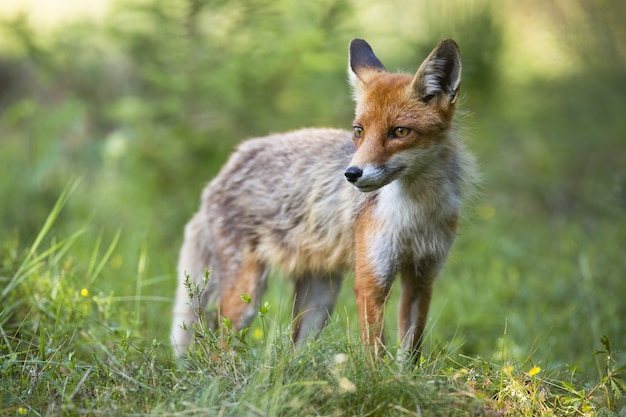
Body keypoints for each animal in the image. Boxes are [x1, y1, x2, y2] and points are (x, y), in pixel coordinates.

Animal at [168, 38, 476, 358]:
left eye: (400, 131)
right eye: (358, 131)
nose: (351, 174)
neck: (415, 216)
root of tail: (228, 167)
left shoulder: (422, 277)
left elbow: (410, 352)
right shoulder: (371, 281)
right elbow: (375, 355)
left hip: (319, 300)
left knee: (295, 352)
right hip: (246, 298)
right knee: (218, 350)